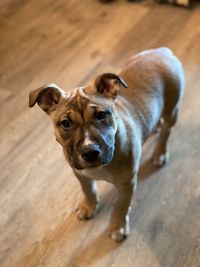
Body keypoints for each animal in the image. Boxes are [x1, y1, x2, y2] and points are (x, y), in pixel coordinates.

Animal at [28, 47, 184, 243]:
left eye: (101, 115)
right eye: (66, 123)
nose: (90, 152)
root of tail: (162, 51)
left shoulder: (127, 183)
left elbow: (121, 206)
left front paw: (118, 226)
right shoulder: (80, 173)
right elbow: (88, 190)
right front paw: (89, 206)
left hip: (172, 108)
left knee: (167, 130)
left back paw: (160, 152)